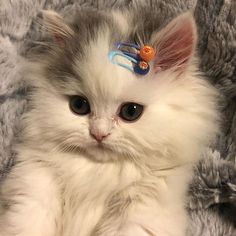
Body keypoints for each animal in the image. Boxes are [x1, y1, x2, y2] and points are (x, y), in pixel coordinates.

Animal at [0, 7, 219, 236]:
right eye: (79, 105)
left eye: (131, 112)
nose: (98, 133)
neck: (98, 172)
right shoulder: (35, 183)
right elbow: (30, 220)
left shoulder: (143, 210)